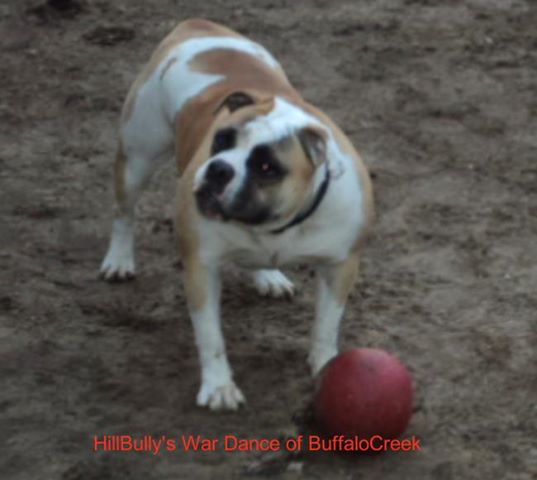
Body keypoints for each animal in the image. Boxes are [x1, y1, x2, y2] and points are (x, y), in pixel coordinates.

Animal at [98, 17, 370, 408]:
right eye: (221, 139)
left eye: (267, 167)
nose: (218, 169)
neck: (277, 224)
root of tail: (197, 26)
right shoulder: (201, 267)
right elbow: (210, 336)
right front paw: (218, 387)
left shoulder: (340, 267)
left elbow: (326, 325)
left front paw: (325, 365)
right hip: (138, 156)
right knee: (125, 212)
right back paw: (119, 260)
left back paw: (268, 276)